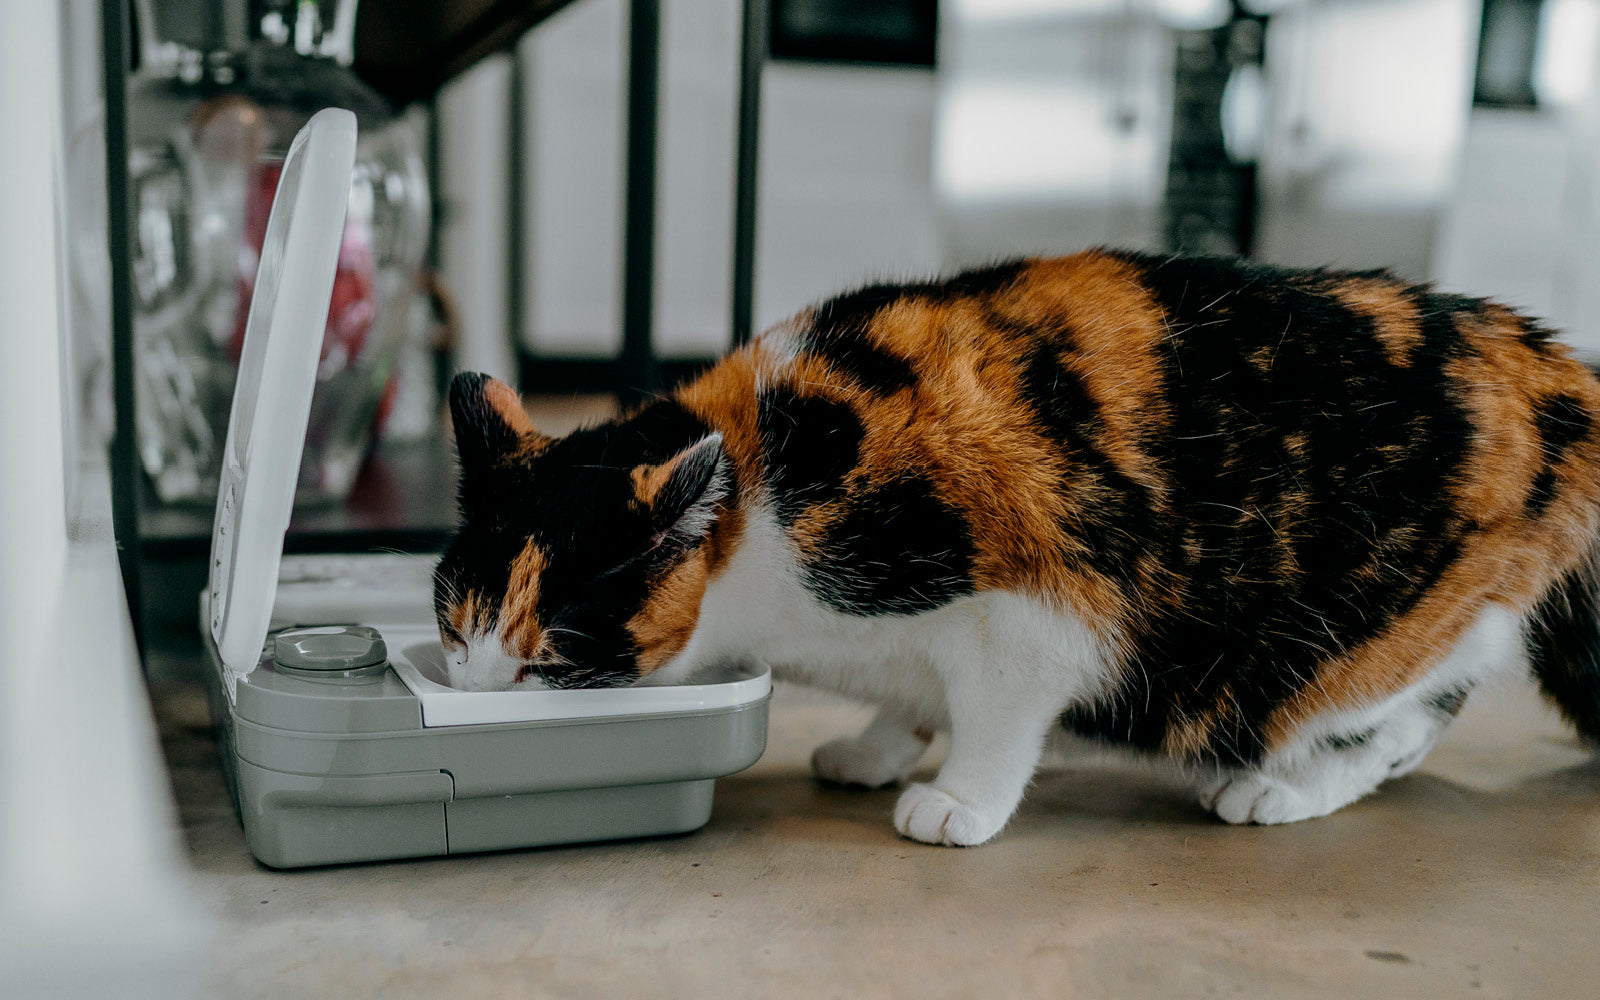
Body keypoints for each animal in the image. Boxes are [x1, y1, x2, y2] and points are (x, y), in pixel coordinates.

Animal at [432, 248, 1600, 844]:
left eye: (549, 654)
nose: (472, 695)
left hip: (1380, 632)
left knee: (1406, 721)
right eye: (452, 622)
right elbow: (911, 695)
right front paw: (876, 745)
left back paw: (1282, 788)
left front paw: (956, 799)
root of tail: (1561, 372)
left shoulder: (1039, 612)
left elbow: (1000, 718)